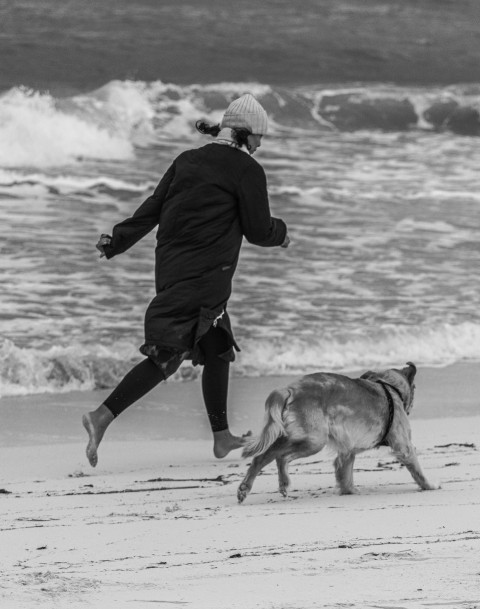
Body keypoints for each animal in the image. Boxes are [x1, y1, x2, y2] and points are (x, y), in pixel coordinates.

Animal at [236, 364, 438, 502]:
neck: (388, 388)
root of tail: (289, 389)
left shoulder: (347, 450)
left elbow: (345, 474)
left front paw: (349, 491)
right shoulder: (404, 447)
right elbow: (418, 471)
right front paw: (429, 485)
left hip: (291, 435)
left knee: (262, 456)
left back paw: (247, 487)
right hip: (314, 440)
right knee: (281, 457)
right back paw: (283, 482)